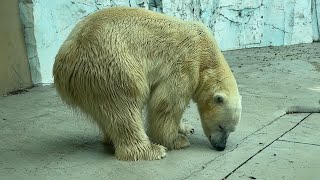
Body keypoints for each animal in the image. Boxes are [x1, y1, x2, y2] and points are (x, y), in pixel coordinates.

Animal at [53, 5, 242, 160]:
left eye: (232, 129)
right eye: (221, 126)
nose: (221, 146)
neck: (205, 53)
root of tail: (66, 57)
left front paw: (186, 128)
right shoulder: (185, 64)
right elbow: (166, 104)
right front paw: (177, 140)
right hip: (111, 64)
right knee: (124, 105)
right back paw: (152, 150)